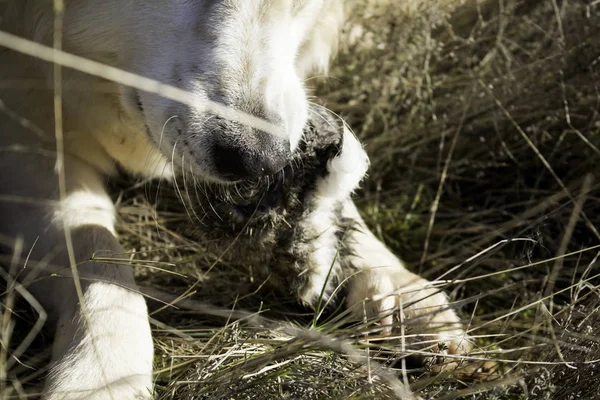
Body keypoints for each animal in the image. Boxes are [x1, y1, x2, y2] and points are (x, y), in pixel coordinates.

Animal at [0, 1, 468, 398]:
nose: (260, 161)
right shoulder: (25, 154)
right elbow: (99, 256)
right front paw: (102, 374)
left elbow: (341, 204)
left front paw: (400, 288)